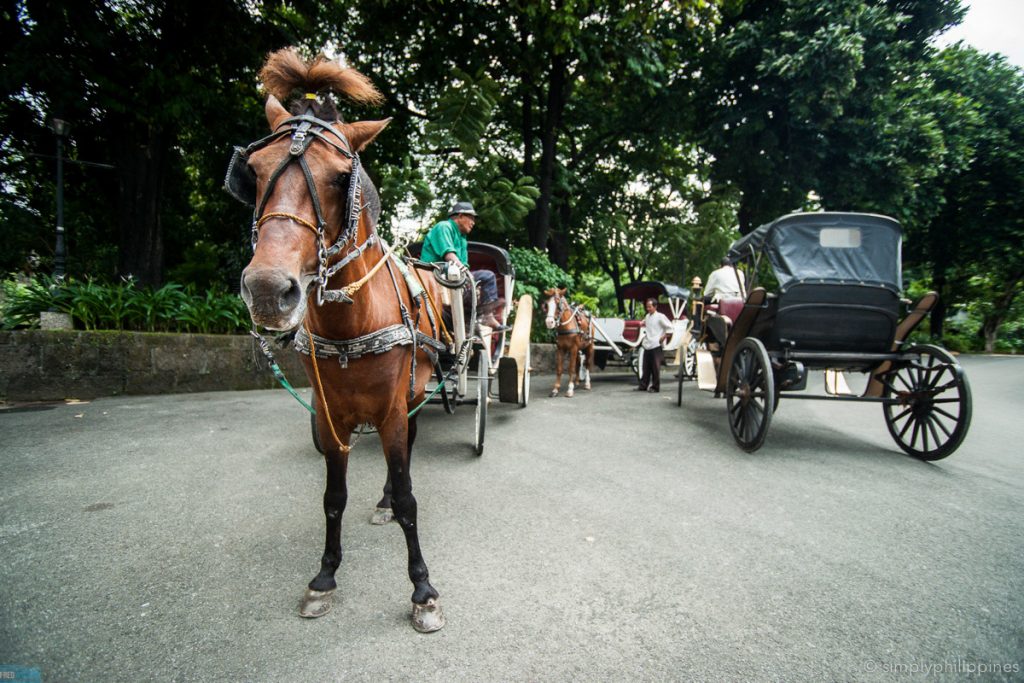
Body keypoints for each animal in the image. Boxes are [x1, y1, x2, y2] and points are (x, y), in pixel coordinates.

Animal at [237, 49, 450, 634]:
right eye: (254, 173)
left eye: (339, 179)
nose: (269, 290)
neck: (350, 327)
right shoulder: (331, 414)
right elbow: (333, 497)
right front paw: (324, 576)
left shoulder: (392, 409)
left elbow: (410, 496)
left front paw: (422, 589)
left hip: (411, 391)